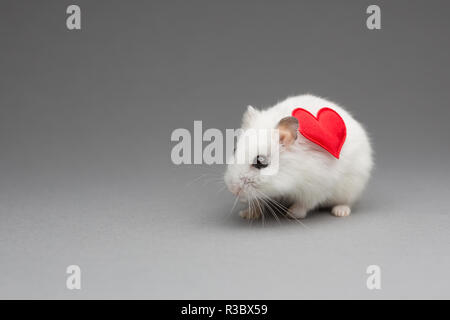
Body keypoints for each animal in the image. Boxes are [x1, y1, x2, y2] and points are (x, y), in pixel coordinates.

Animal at [224, 94, 372, 220]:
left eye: (260, 162)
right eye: (234, 150)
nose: (233, 190)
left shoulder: (317, 187)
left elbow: (304, 204)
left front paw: (291, 214)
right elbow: (257, 202)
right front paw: (247, 214)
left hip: (352, 189)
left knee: (346, 203)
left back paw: (340, 212)